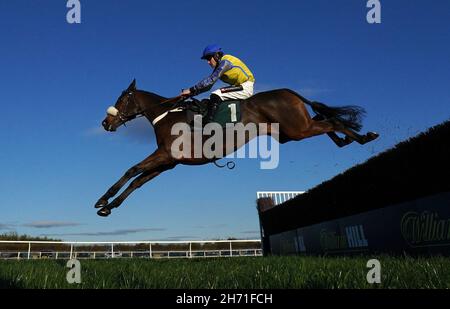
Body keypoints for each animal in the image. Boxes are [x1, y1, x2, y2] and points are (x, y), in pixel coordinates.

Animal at [96, 79, 380, 217]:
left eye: (120, 100)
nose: (105, 122)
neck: (167, 114)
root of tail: (288, 91)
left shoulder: (165, 154)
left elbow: (132, 170)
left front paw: (103, 199)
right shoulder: (169, 162)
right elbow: (137, 181)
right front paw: (109, 206)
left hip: (297, 129)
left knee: (331, 121)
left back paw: (363, 137)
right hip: (290, 133)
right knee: (324, 120)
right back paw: (352, 138)